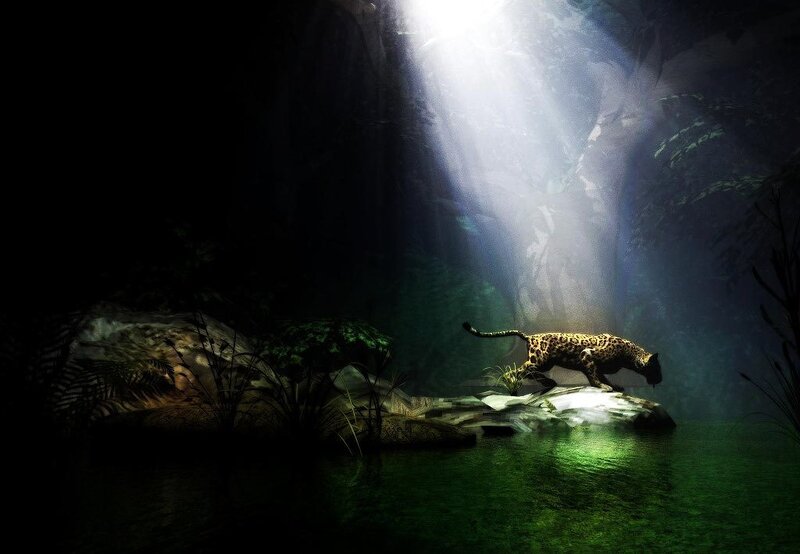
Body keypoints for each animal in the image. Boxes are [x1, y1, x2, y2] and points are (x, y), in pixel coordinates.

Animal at [462, 321, 662, 392]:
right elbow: (593, 375)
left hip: (545, 364)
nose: (660, 380)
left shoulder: (596, 364)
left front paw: (613, 385)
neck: (629, 355)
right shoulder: (587, 354)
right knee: (519, 371)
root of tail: (530, 336)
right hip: (539, 360)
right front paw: (602, 387)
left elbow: (601, 375)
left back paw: (549, 382)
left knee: (528, 372)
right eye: (658, 368)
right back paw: (510, 381)